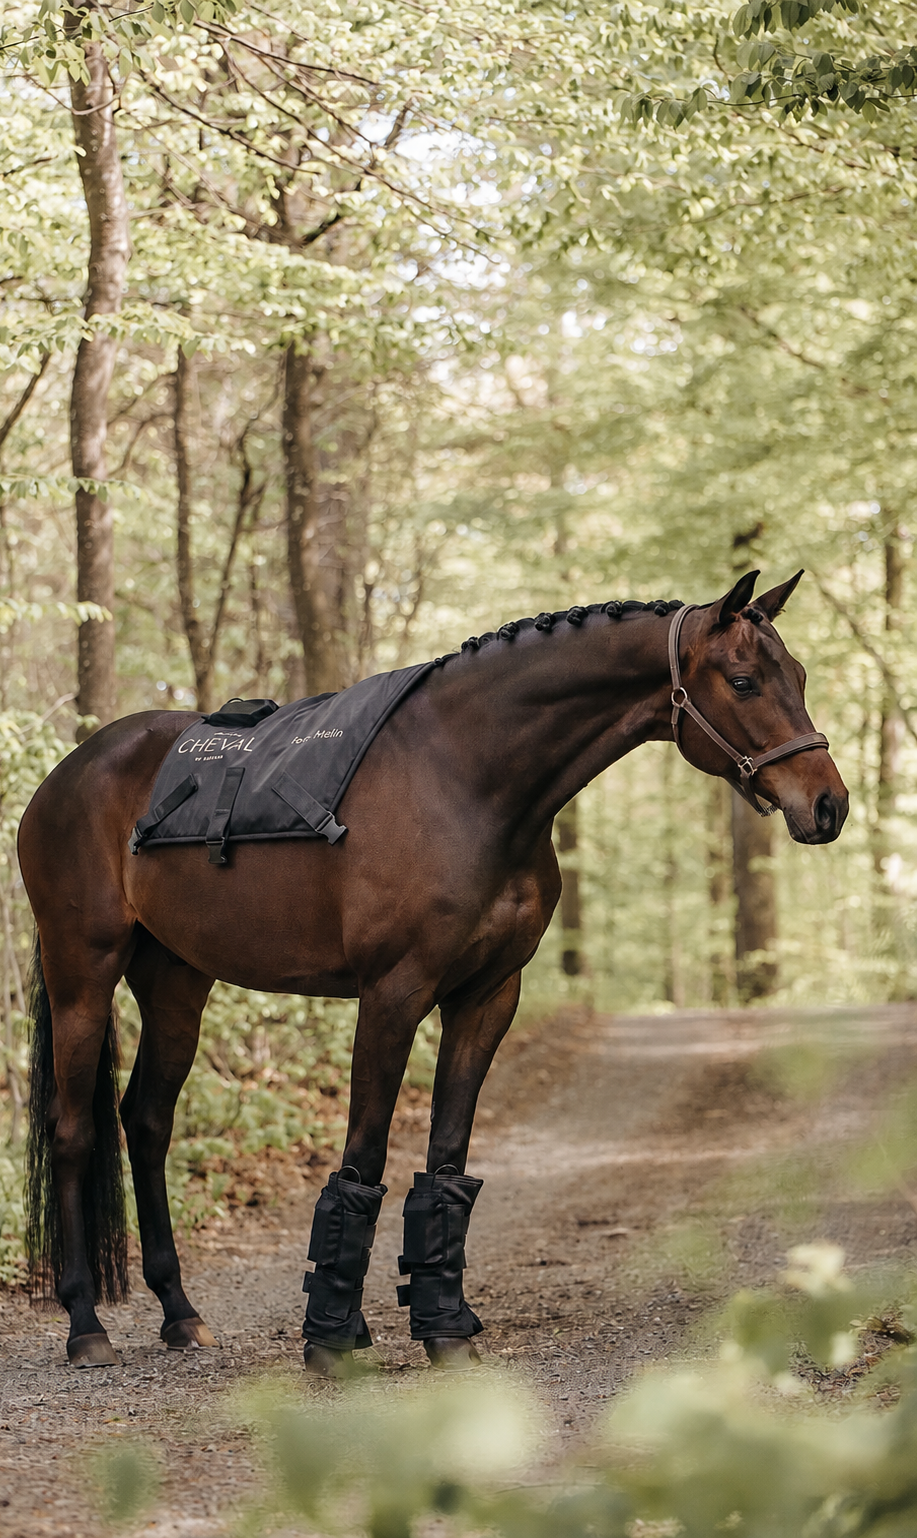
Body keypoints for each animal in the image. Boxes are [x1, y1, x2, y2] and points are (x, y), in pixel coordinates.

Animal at [20, 569, 848, 1374]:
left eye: (799, 676)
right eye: (742, 681)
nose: (827, 806)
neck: (463, 777)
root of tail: (67, 773)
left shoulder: (486, 996)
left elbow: (446, 1157)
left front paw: (443, 1328)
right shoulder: (391, 994)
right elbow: (363, 1156)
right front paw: (331, 1338)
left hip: (176, 981)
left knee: (146, 1122)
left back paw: (180, 1314)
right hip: (82, 969)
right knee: (74, 1131)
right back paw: (86, 1326)